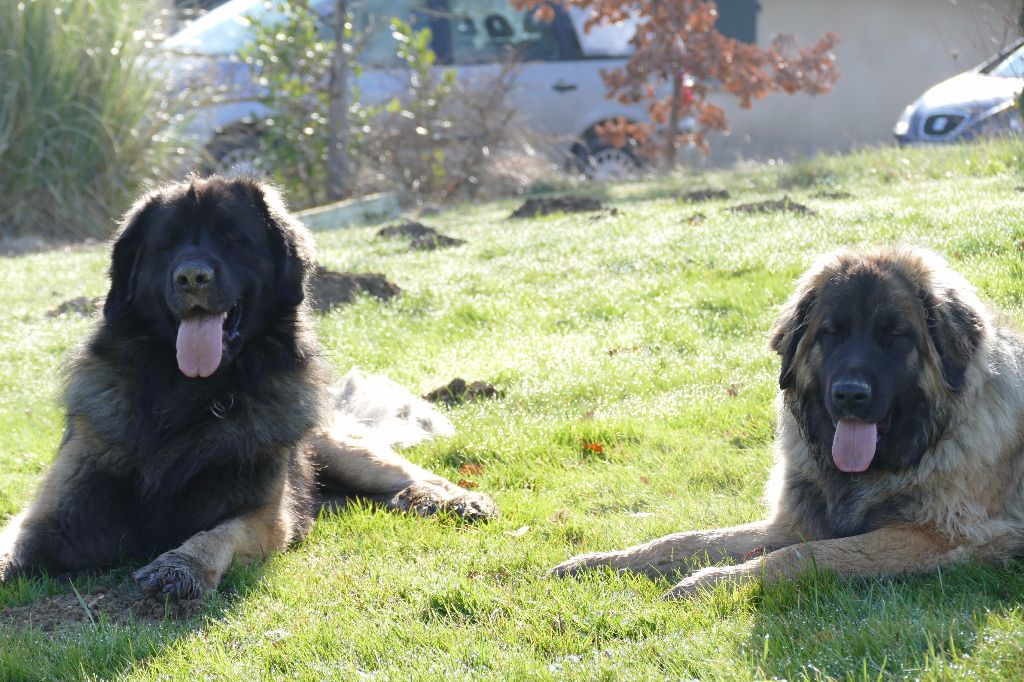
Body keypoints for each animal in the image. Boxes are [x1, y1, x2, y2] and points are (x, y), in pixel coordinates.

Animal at [0, 175, 495, 593]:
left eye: (231, 238)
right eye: (166, 244)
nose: (192, 277)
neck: (185, 396)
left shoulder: (262, 515)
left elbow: (218, 533)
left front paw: (181, 565)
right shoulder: (54, 514)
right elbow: (12, 547)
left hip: (342, 450)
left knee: (416, 475)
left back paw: (456, 501)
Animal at [557, 248, 1024, 593]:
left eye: (895, 335)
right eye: (832, 332)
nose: (849, 395)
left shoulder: (941, 536)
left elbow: (805, 555)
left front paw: (710, 582)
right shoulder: (795, 521)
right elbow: (688, 539)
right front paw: (600, 562)